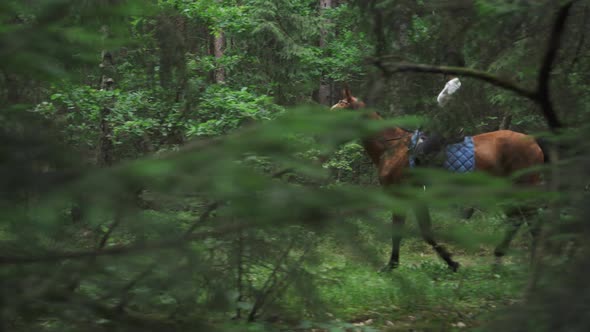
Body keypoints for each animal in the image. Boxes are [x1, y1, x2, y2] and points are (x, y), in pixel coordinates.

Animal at [330, 89, 548, 272]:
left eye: (340, 108)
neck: (392, 148)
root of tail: (533, 141)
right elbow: (418, 232)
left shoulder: (405, 195)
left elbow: (416, 232)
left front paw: (450, 263)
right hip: (505, 192)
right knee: (516, 220)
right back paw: (498, 259)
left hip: (522, 188)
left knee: (532, 223)